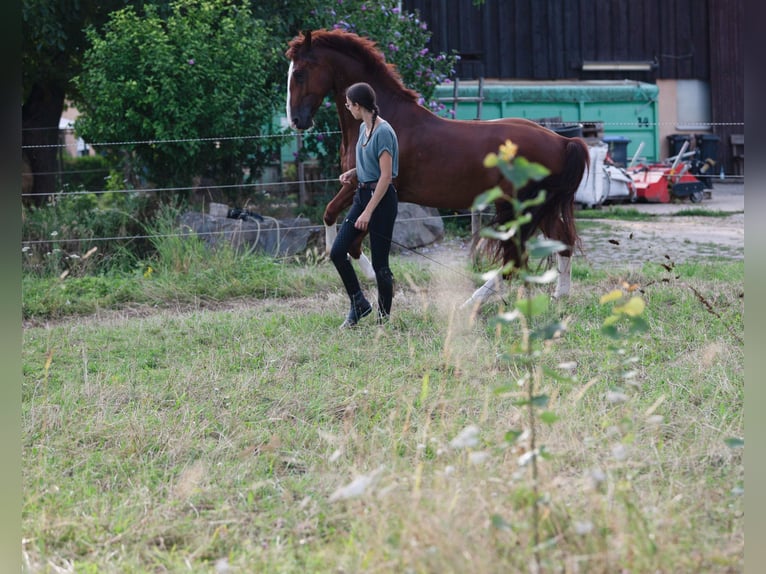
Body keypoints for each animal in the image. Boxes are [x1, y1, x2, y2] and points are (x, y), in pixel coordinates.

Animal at [284, 29, 592, 304]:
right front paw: (368, 273)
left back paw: (472, 303)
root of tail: (563, 141)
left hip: (517, 208)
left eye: (299, 73)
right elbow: (340, 223)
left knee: (514, 259)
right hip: (540, 206)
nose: (296, 121)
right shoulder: (357, 186)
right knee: (562, 240)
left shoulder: (368, 188)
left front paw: (364, 270)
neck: (386, 119)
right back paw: (560, 296)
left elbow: (339, 223)